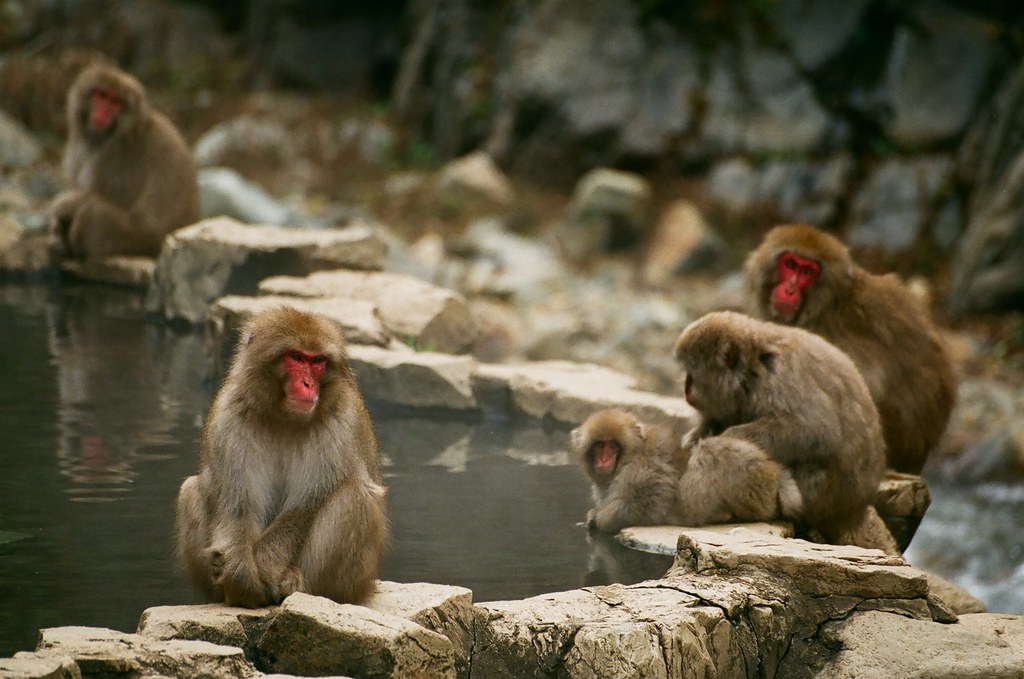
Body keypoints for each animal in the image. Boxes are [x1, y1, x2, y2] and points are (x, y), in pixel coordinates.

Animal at [48, 64, 199, 260]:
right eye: (101, 95)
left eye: (116, 102)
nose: (103, 113)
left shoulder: (119, 156)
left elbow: (108, 197)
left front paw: (64, 205)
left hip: (139, 240)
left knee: (91, 214)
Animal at [176, 307, 387, 606]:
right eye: (296, 357)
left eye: (318, 360)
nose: (309, 384)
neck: (284, 416)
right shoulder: (229, 415)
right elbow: (237, 502)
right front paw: (239, 576)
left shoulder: (342, 419)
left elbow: (307, 504)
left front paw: (263, 568)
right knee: (191, 489)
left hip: (355, 582)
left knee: (356, 496)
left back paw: (298, 585)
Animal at [573, 405, 778, 532]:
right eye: (599, 445)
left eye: (612, 445)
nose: (604, 460)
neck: (629, 457)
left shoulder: (640, 469)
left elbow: (649, 499)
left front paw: (598, 519)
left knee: (709, 449)